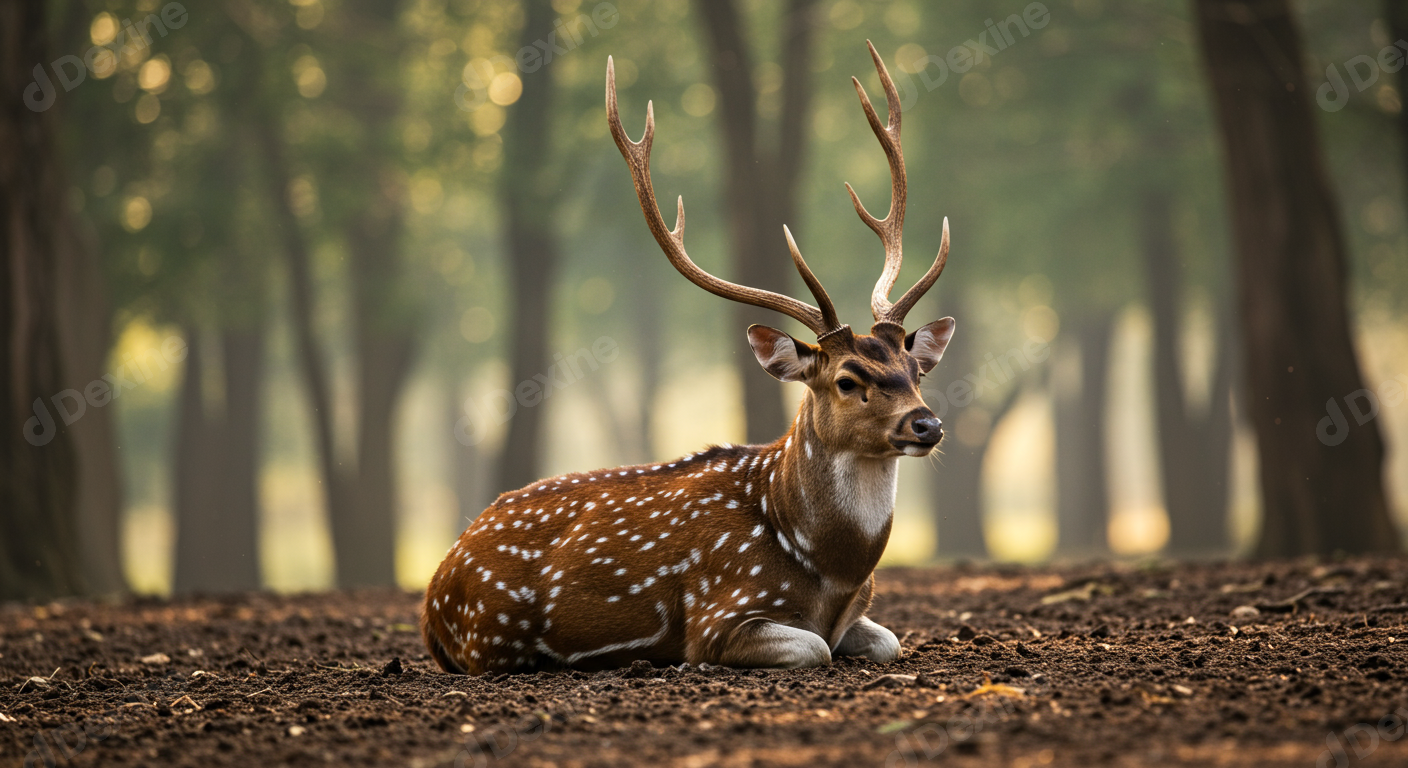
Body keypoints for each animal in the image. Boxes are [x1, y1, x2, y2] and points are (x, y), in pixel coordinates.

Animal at [422, 42, 955, 676]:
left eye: (916, 370)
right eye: (848, 379)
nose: (926, 424)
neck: (830, 571)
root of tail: (431, 596)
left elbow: (887, 640)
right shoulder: (719, 616)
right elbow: (816, 647)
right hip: (489, 631)